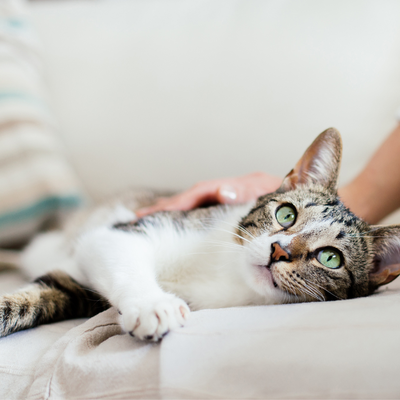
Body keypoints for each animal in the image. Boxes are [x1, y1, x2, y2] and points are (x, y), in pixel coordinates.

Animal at [0, 128, 400, 340]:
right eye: (286, 214)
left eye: (330, 258)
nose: (278, 251)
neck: (226, 273)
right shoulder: (130, 228)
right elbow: (115, 248)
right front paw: (154, 304)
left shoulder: (77, 290)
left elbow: (42, 298)